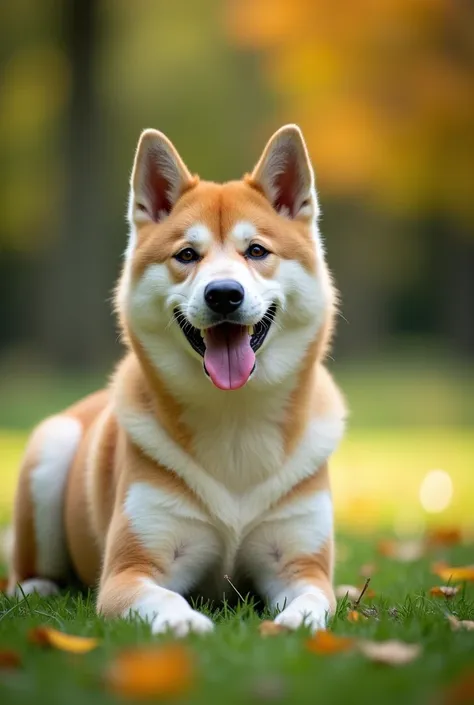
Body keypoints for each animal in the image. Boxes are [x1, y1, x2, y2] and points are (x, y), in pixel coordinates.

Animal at [7, 124, 346, 636]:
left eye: (257, 251)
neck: (234, 421)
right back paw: (38, 588)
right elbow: (163, 598)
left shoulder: (299, 563)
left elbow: (313, 599)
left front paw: (295, 623)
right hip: (52, 447)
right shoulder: (131, 569)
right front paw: (186, 624)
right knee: (25, 573)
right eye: (187, 255)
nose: (224, 294)